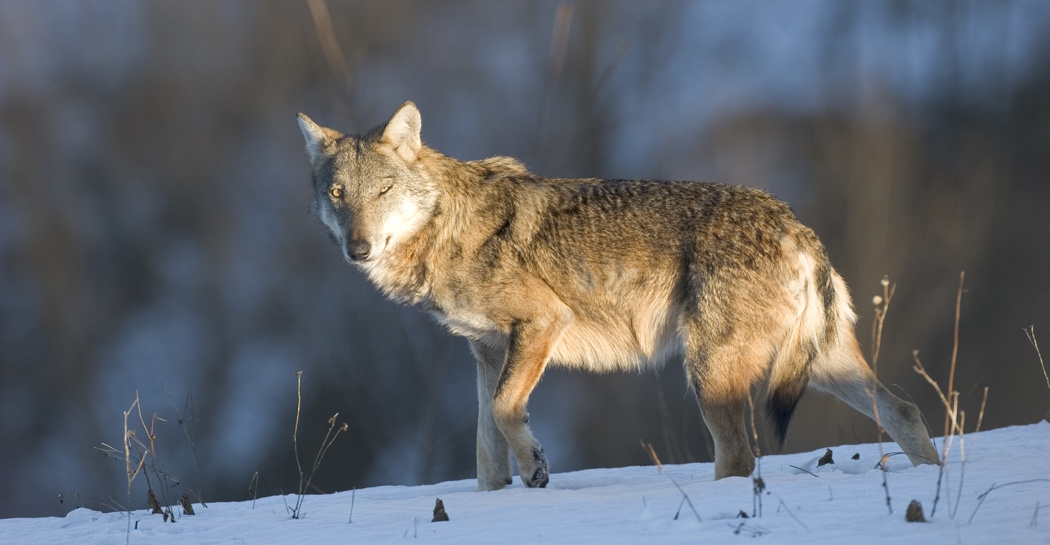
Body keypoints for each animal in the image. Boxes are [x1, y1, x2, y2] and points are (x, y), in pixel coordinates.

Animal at [296, 101, 939, 490]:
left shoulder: (541, 323)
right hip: (820, 366)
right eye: (338, 194)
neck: (446, 230)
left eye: (383, 191)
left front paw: (536, 468)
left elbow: (505, 413)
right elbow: (484, 453)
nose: (358, 248)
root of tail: (795, 225)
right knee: (905, 412)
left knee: (740, 456)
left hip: (712, 376)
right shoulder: (484, 352)